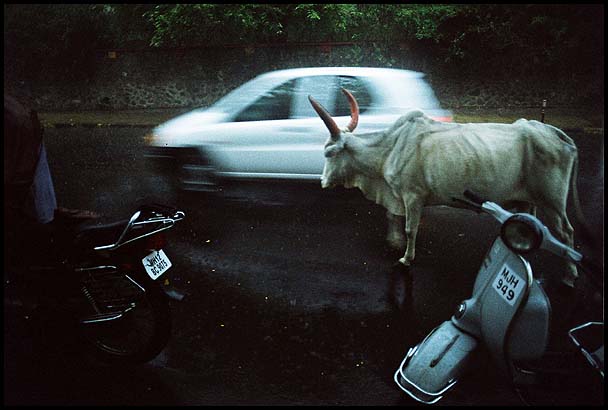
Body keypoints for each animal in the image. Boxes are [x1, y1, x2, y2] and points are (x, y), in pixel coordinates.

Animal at [308, 88, 584, 286]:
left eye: (329, 153)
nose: (322, 182)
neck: (391, 148)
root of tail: (557, 133)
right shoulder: (399, 199)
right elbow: (393, 218)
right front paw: (394, 243)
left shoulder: (413, 196)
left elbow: (410, 229)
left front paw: (406, 259)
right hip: (528, 201)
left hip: (553, 202)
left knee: (567, 232)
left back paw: (570, 275)